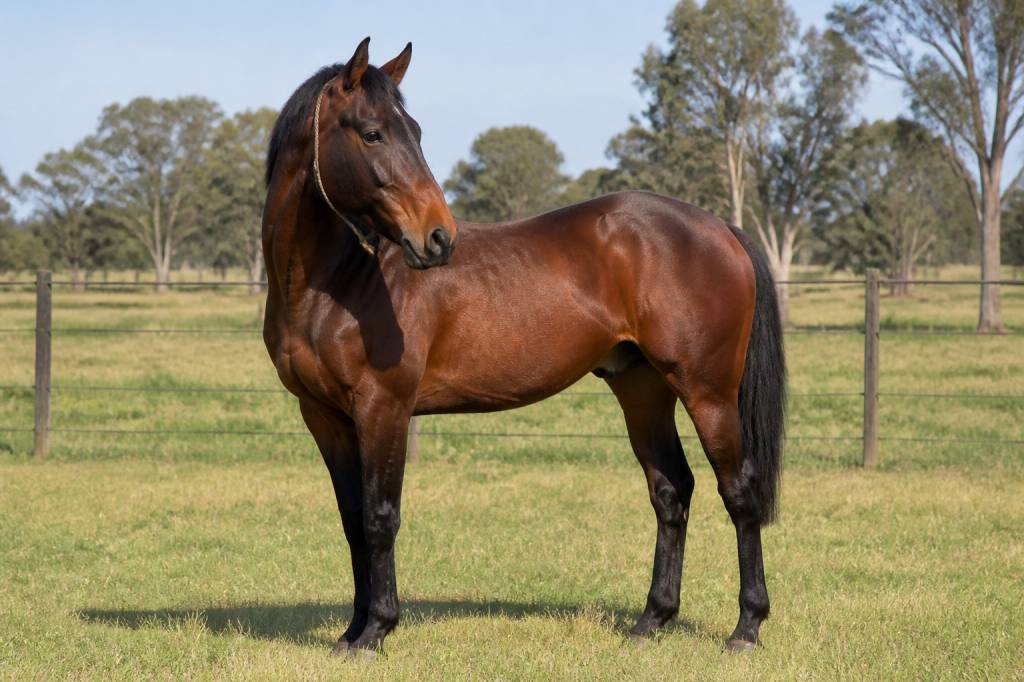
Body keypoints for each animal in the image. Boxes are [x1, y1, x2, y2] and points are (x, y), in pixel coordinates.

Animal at [261, 37, 786, 658]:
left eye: (414, 130)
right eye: (372, 133)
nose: (438, 237)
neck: (339, 281)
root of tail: (720, 228)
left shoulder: (382, 408)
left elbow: (379, 518)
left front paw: (377, 631)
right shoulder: (324, 416)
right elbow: (351, 521)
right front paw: (350, 632)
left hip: (707, 392)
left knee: (740, 492)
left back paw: (747, 627)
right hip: (643, 390)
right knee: (671, 491)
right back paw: (651, 620)